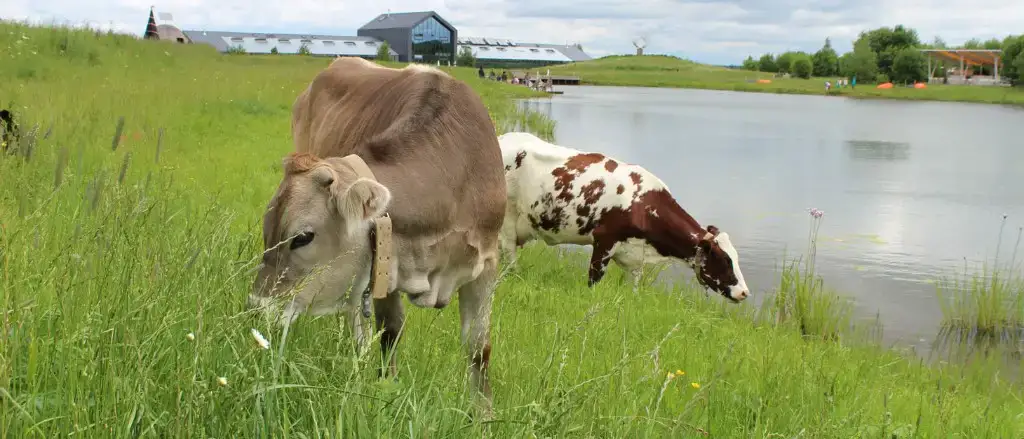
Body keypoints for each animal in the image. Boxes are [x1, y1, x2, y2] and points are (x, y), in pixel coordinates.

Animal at [249, 57, 505, 415]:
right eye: (266, 231)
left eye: (303, 237)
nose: (256, 308)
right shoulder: (384, 262)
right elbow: (390, 333)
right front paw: (387, 393)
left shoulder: (488, 260)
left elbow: (479, 347)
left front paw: (484, 416)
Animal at [497, 131, 749, 302]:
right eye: (724, 260)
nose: (745, 292)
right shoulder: (604, 240)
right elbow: (594, 280)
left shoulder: (634, 258)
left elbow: (633, 289)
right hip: (508, 218)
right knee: (509, 253)